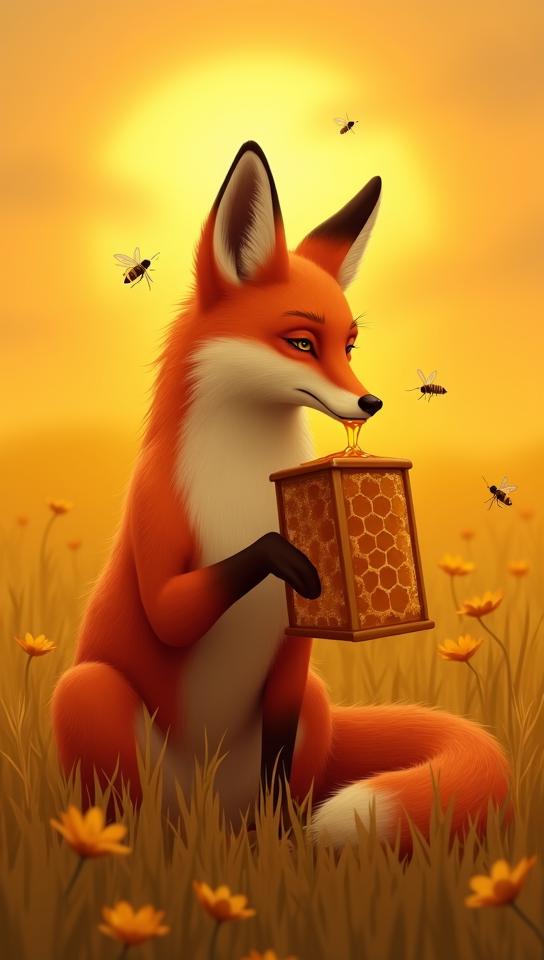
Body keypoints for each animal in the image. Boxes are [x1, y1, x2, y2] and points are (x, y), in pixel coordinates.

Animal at [51, 141, 511, 857]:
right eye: (300, 342)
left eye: (349, 344)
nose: (370, 402)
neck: (246, 482)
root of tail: (207, 807)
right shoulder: (156, 527)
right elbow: (177, 607)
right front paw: (291, 548)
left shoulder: (293, 656)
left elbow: (279, 758)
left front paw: (281, 847)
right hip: (89, 694)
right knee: (131, 814)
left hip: (316, 704)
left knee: (280, 793)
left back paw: (273, 842)